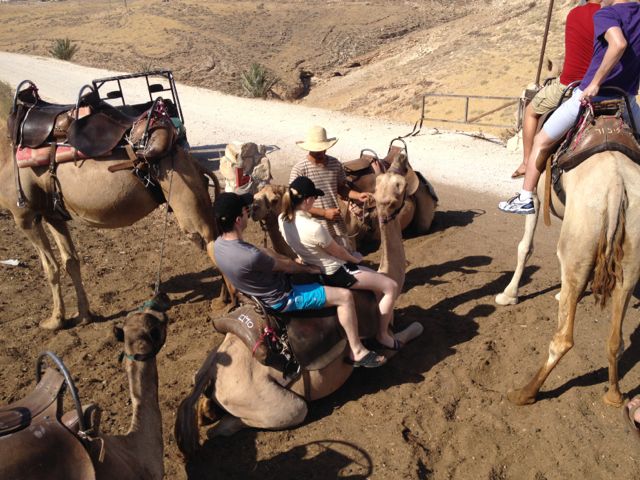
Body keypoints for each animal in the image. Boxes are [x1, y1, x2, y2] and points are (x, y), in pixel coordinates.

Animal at [0, 118, 219, 330]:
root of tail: (191, 160)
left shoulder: (25, 216)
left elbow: (50, 268)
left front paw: (54, 321)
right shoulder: (53, 215)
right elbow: (70, 261)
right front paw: (83, 316)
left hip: (186, 199)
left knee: (208, 242)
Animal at [174, 156, 423, 458]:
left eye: (389, 179)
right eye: (398, 184)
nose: (401, 158)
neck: (388, 275)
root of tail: (212, 371)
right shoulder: (383, 334)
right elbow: (411, 330)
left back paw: (205, 410)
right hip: (278, 404)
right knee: (270, 415)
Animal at [497, 150, 640, 407]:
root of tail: (617, 185)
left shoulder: (536, 194)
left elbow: (525, 246)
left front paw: (508, 294)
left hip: (578, 239)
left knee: (563, 340)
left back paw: (525, 393)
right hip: (629, 259)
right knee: (616, 339)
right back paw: (614, 395)